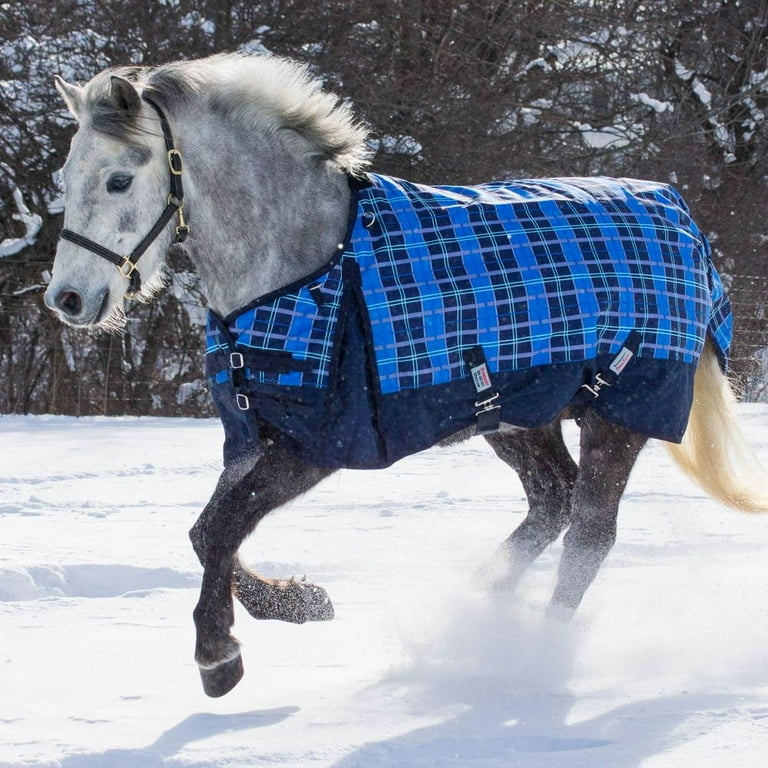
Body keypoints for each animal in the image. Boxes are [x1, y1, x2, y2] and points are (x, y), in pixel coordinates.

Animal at [45, 53, 768, 698]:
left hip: (616, 412)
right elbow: (205, 532)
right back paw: (476, 610)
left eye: (117, 180)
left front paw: (218, 656)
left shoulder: (314, 444)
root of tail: (681, 218)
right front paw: (301, 601)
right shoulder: (257, 431)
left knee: (590, 530)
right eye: (66, 177)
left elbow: (223, 527)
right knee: (553, 501)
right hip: (514, 413)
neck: (302, 264)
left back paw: (533, 653)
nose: (68, 300)